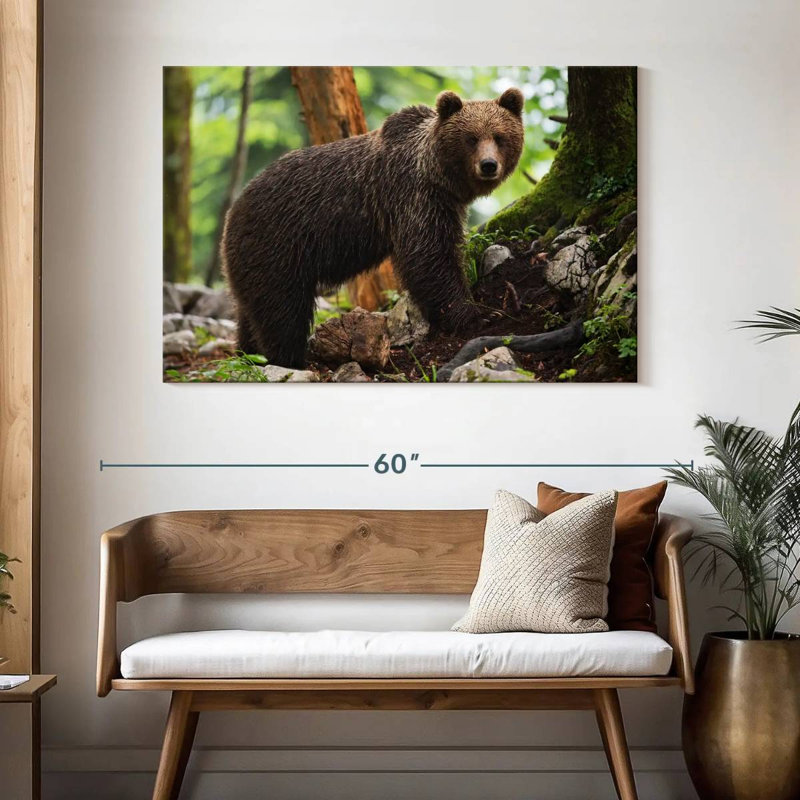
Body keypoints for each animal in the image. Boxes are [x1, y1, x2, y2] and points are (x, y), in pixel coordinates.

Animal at [222, 87, 525, 368]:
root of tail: (232, 213)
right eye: (471, 138)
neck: (438, 175)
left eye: (499, 136)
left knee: (250, 311)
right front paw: (477, 314)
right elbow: (429, 257)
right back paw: (289, 358)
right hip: (278, 245)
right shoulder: (414, 197)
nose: (488, 165)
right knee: (282, 311)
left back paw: (248, 353)